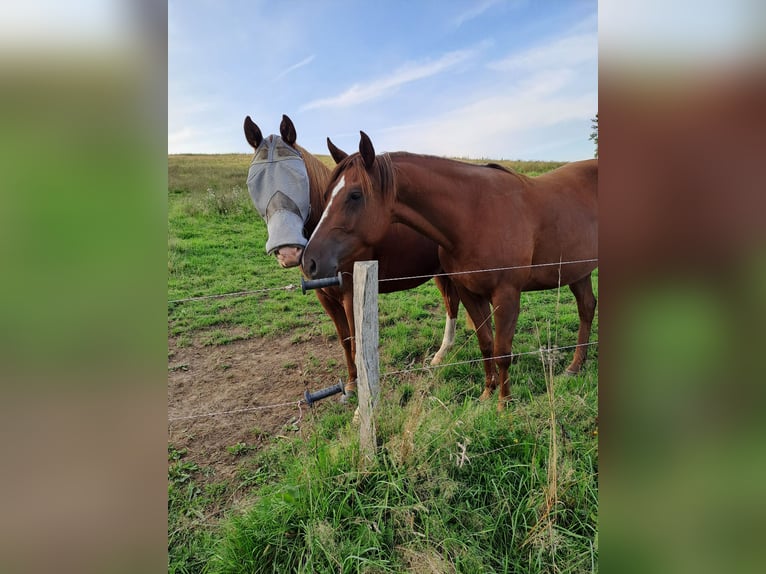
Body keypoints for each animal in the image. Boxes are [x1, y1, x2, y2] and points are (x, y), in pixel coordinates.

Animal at [246, 117, 462, 396]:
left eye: (299, 177)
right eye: (254, 182)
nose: (288, 252)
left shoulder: (350, 294)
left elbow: (356, 341)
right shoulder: (325, 297)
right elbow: (345, 339)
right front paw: (349, 384)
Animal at [304, 133, 600, 412]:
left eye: (355, 195)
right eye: (326, 196)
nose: (310, 261)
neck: (475, 215)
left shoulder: (506, 295)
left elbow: (502, 351)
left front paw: (504, 404)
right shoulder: (468, 292)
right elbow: (485, 344)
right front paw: (487, 393)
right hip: (578, 273)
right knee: (587, 308)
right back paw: (575, 366)